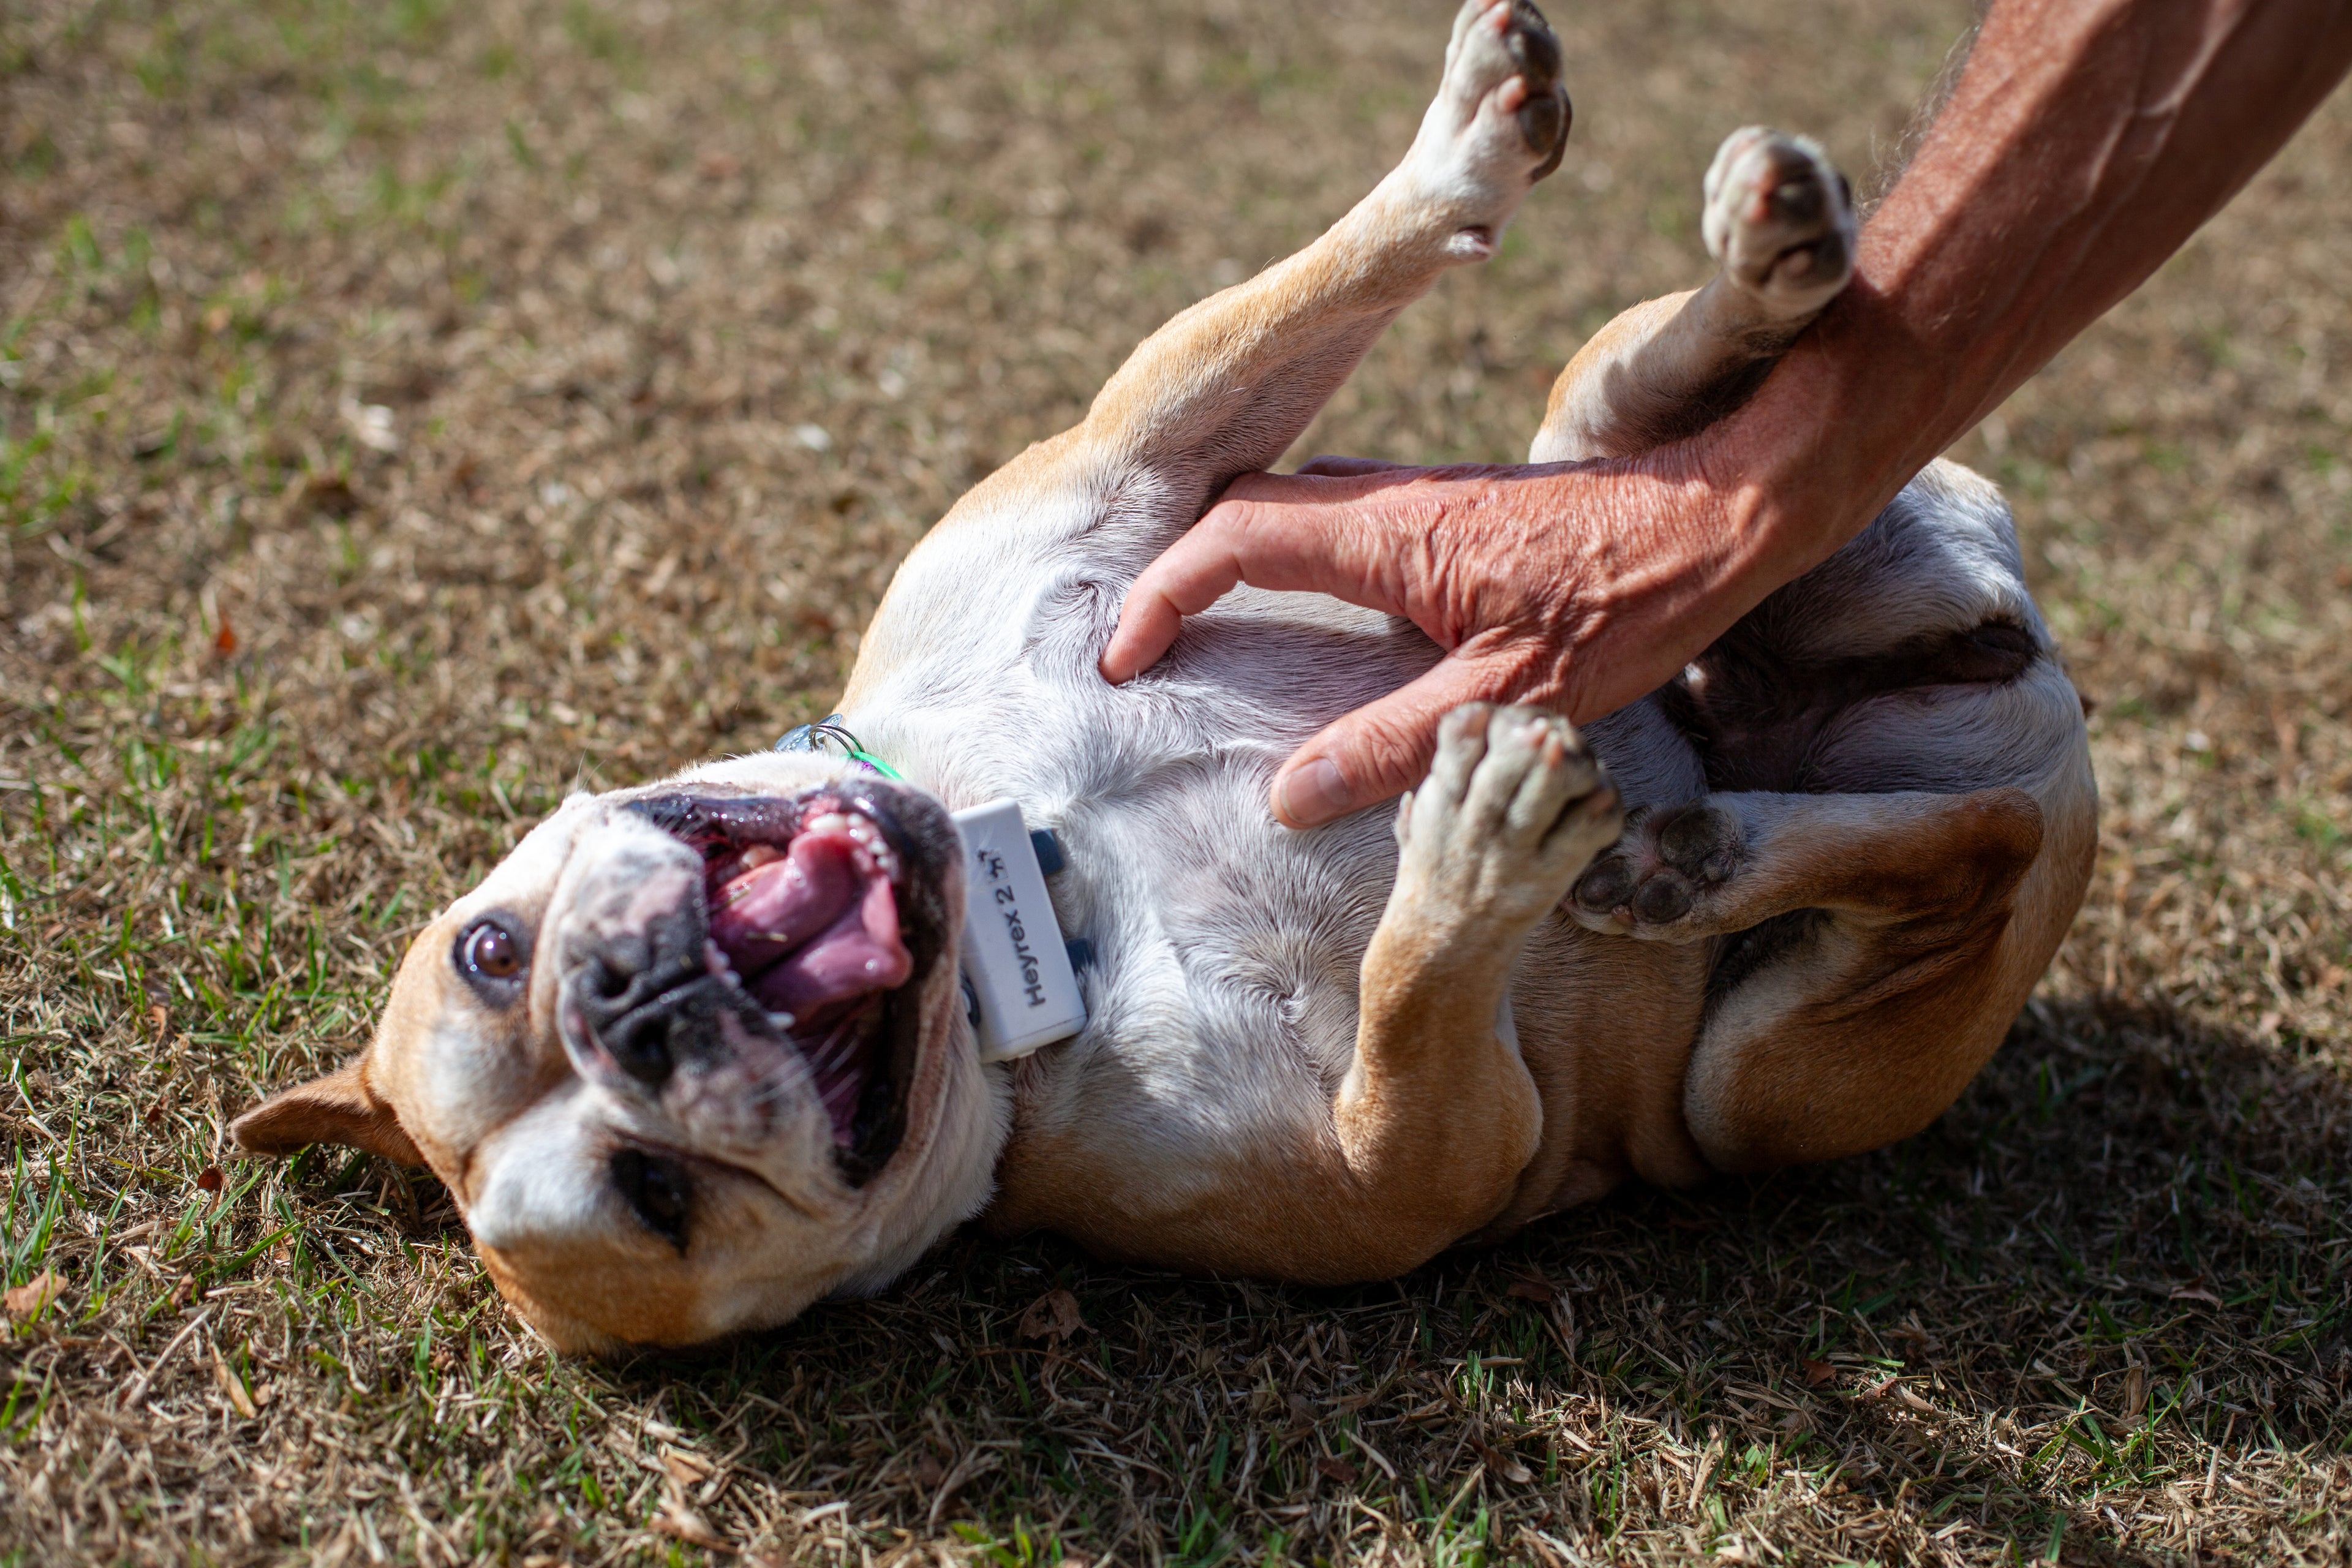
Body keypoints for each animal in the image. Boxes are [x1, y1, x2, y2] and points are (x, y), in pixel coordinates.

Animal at [231, 0, 2096, 1352]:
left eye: (490, 950)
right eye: (652, 1200)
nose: (629, 1001)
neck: (1025, 876)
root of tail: (2012, 677)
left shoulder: (1134, 464)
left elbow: (1286, 300)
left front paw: (1461, 150)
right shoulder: (1409, 1161)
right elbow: (1416, 1015)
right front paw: (1467, 865)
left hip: (1601, 482)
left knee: (1629, 415)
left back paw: (1759, 266)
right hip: (1765, 1080)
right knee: (1958, 854)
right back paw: (1696, 849)